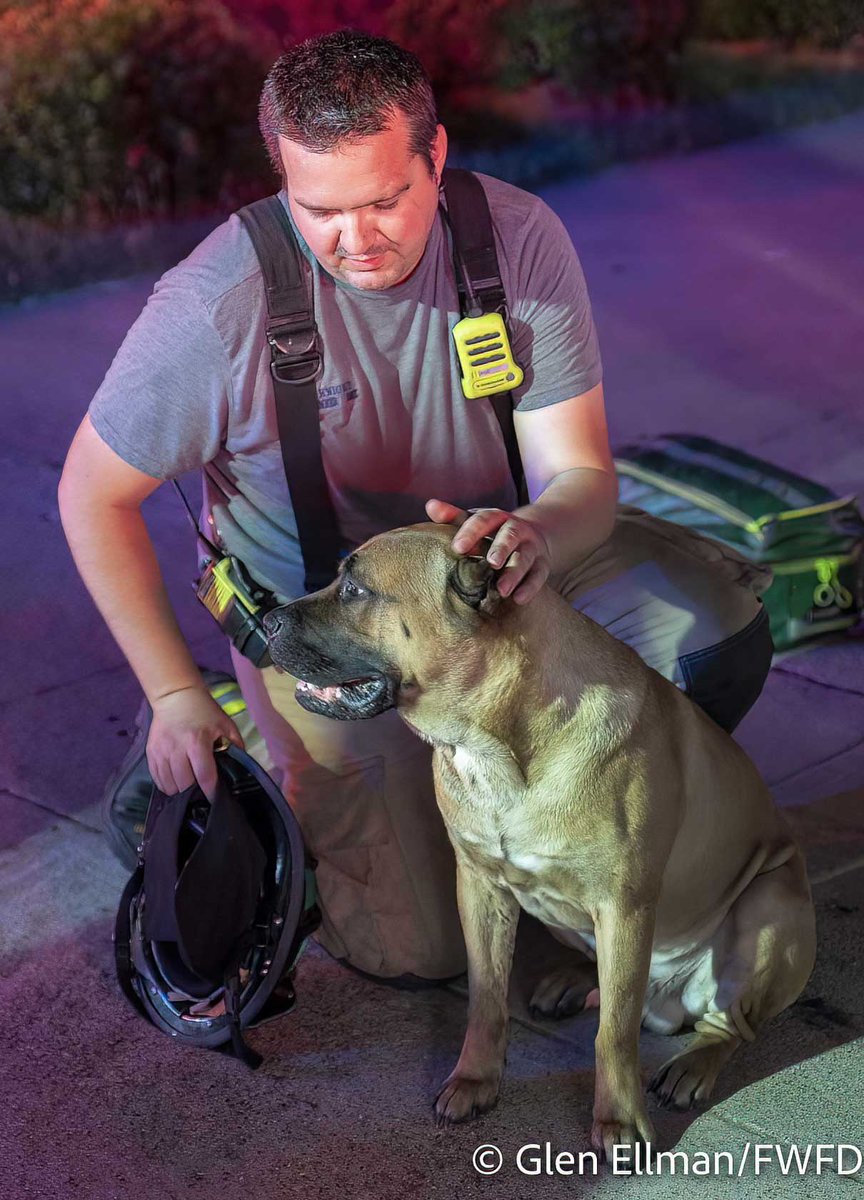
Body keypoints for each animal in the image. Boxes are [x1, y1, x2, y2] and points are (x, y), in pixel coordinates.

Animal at [265, 523, 816, 1152]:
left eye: (355, 589)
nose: (265, 621)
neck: (493, 746)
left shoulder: (625, 905)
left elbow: (613, 1034)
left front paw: (617, 1118)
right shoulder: (480, 888)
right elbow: (485, 999)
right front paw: (475, 1078)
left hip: (770, 906)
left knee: (726, 1026)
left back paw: (692, 1067)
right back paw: (574, 979)